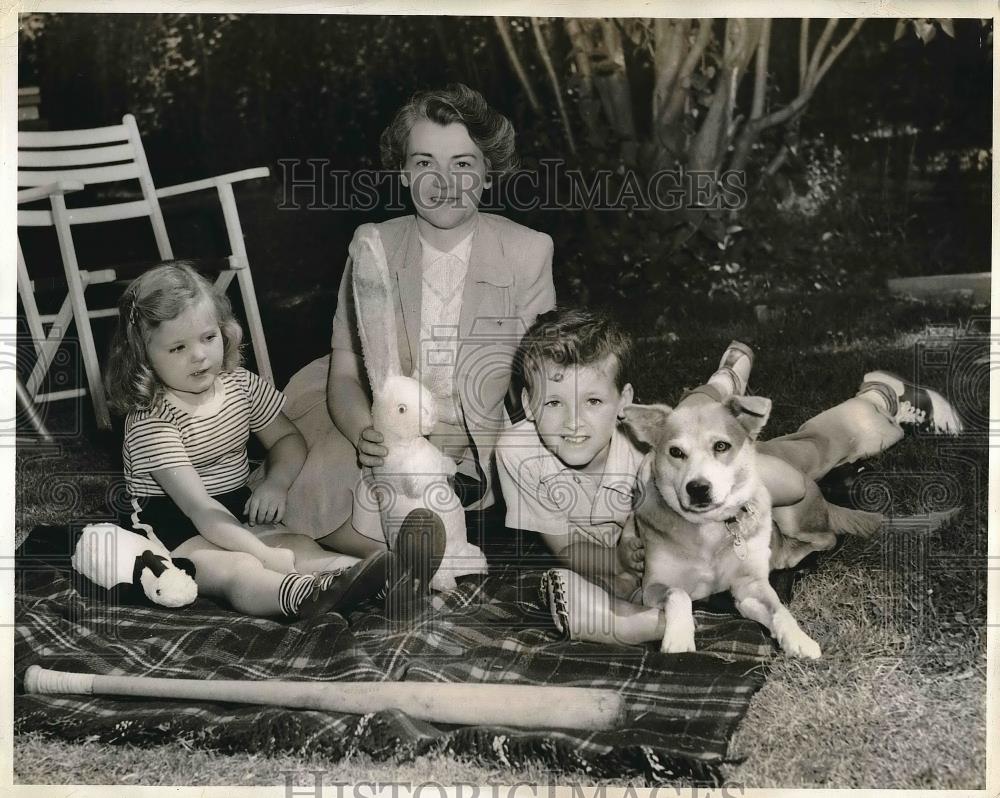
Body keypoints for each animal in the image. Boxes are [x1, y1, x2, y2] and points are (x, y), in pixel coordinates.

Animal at [624, 396, 820, 664]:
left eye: (721, 446)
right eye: (676, 452)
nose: (697, 488)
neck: (709, 527)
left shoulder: (750, 585)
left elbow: (779, 609)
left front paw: (798, 638)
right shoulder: (652, 586)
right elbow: (678, 593)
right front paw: (679, 639)